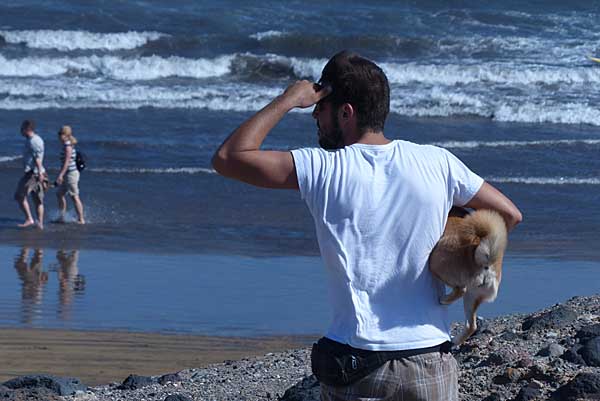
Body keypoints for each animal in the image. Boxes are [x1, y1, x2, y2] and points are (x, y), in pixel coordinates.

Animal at [428, 206, 508, 344]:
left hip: (435, 262)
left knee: (460, 290)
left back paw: (444, 300)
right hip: (472, 296)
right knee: (471, 326)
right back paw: (455, 340)